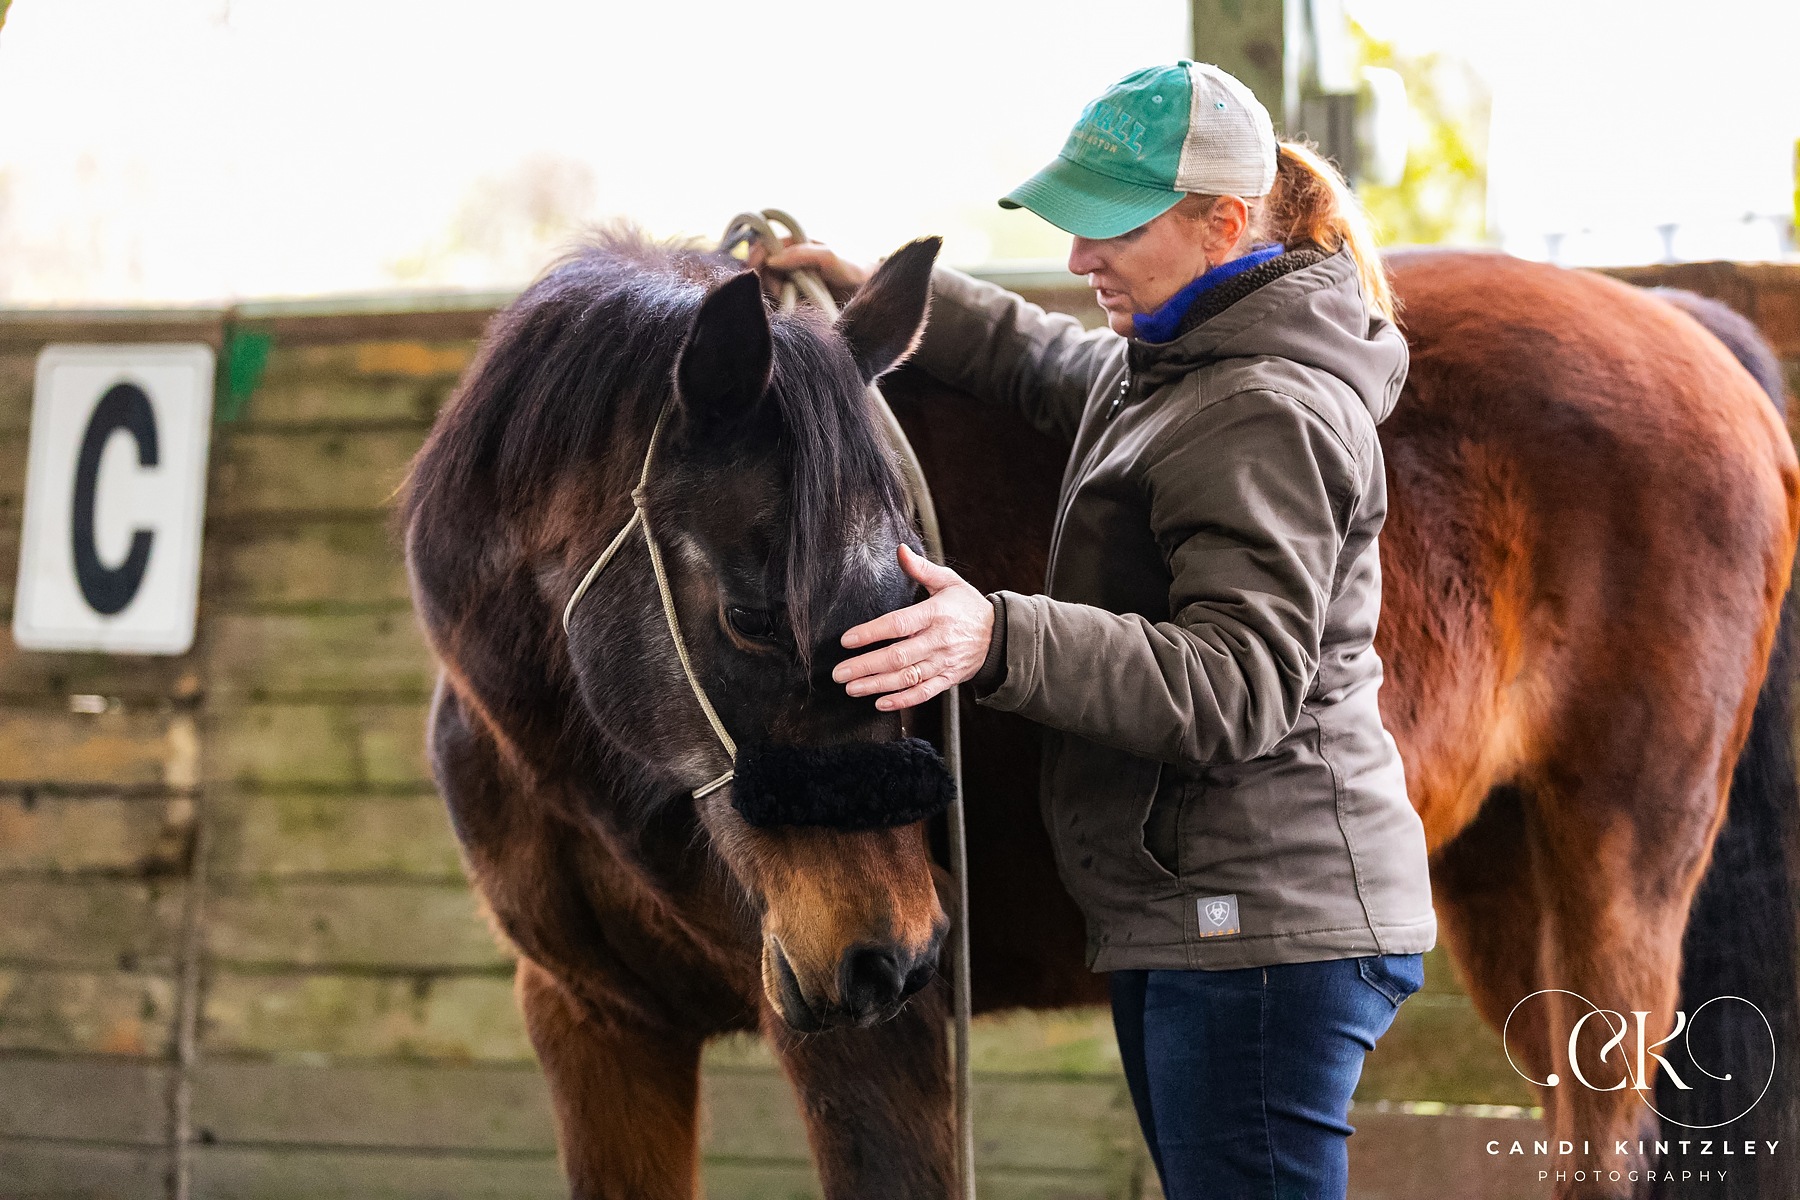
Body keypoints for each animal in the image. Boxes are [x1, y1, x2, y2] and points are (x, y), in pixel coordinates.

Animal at [408, 233, 1800, 1200]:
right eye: (751, 616)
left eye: (911, 580)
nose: (893, 949)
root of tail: (1680, 322)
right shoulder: (600, 1032)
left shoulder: (877, 1050)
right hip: (1501, 881)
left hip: (1620, 871)